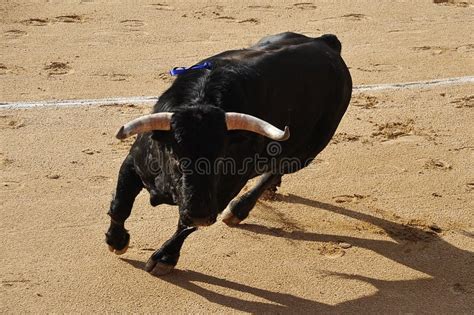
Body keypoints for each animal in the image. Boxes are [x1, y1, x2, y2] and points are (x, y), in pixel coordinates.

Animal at [105, 31, 354, 274]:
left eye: (223, 158)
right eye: (175, 156)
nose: (200, 214)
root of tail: (325, 42)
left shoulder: (222, 194)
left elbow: (185, 227)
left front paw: (165, 257)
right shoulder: (133, 164)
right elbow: (120, 205)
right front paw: (117, 241)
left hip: (308, 151)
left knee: (277, 169)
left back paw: (239, 209)